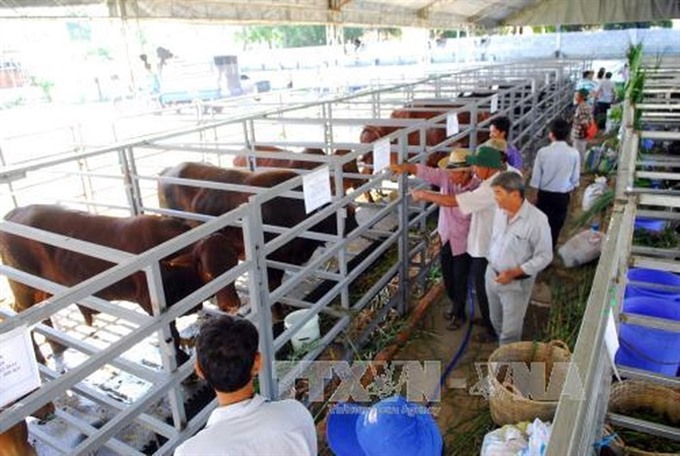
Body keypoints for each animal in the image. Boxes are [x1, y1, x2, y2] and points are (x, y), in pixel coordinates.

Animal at [0, 205, 240, 366]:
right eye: (208, 272)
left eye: (234, 263)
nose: (232, 305)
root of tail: (15, 212)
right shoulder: (151, 304)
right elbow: (172, 334)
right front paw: (180, 359)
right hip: (23, 287)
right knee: (19, 313)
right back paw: (39, 356)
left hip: (43, 289)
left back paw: (56, 345)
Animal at [157, 163, 358, 318]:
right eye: (346, 217)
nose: (357, 227)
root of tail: (168, 170)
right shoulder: (273, 260)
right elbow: (273, 287)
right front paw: (277, 314)